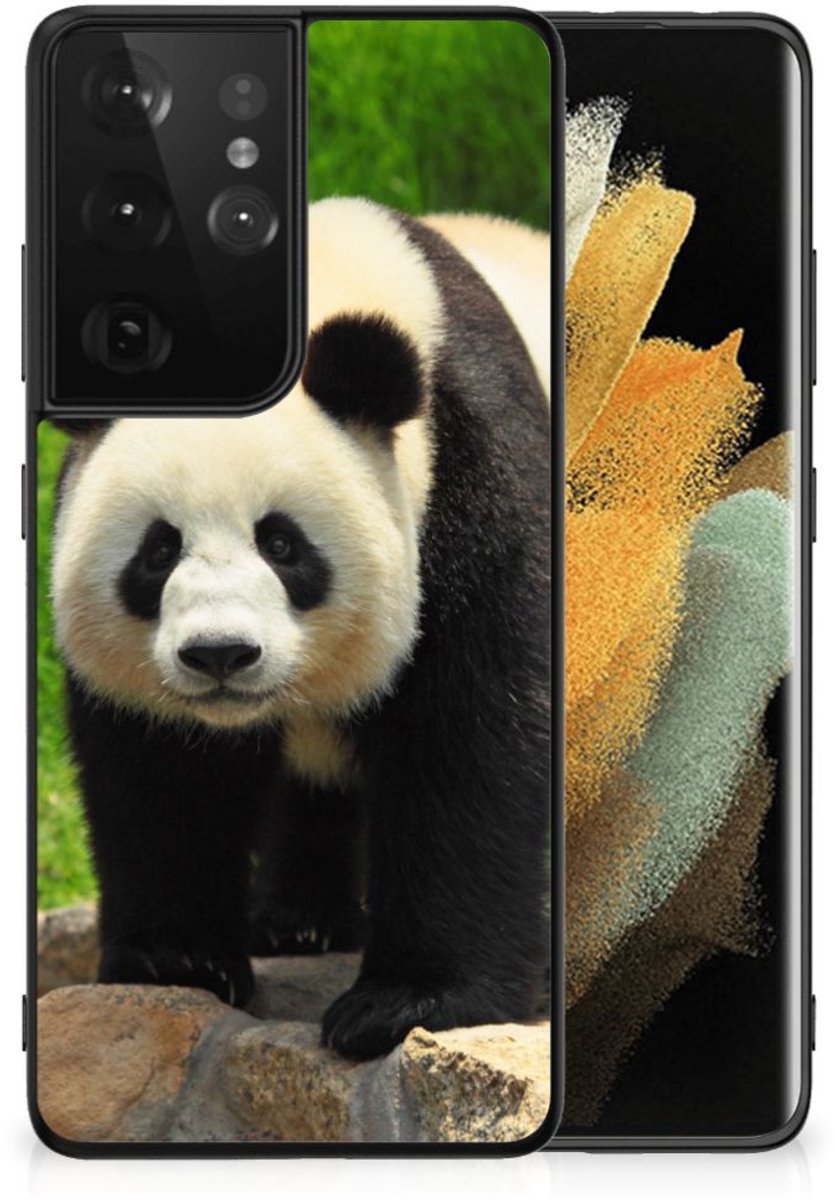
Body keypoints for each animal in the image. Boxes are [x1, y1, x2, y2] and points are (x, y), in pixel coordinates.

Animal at [50, 198, 551, 1060]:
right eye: (158, 550)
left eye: (281, 544)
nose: (220, 654)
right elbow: (161, 771)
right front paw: (176, 960)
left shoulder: (477, 484)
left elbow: (472, 742)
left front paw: (407, 1002)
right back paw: (299, 922)